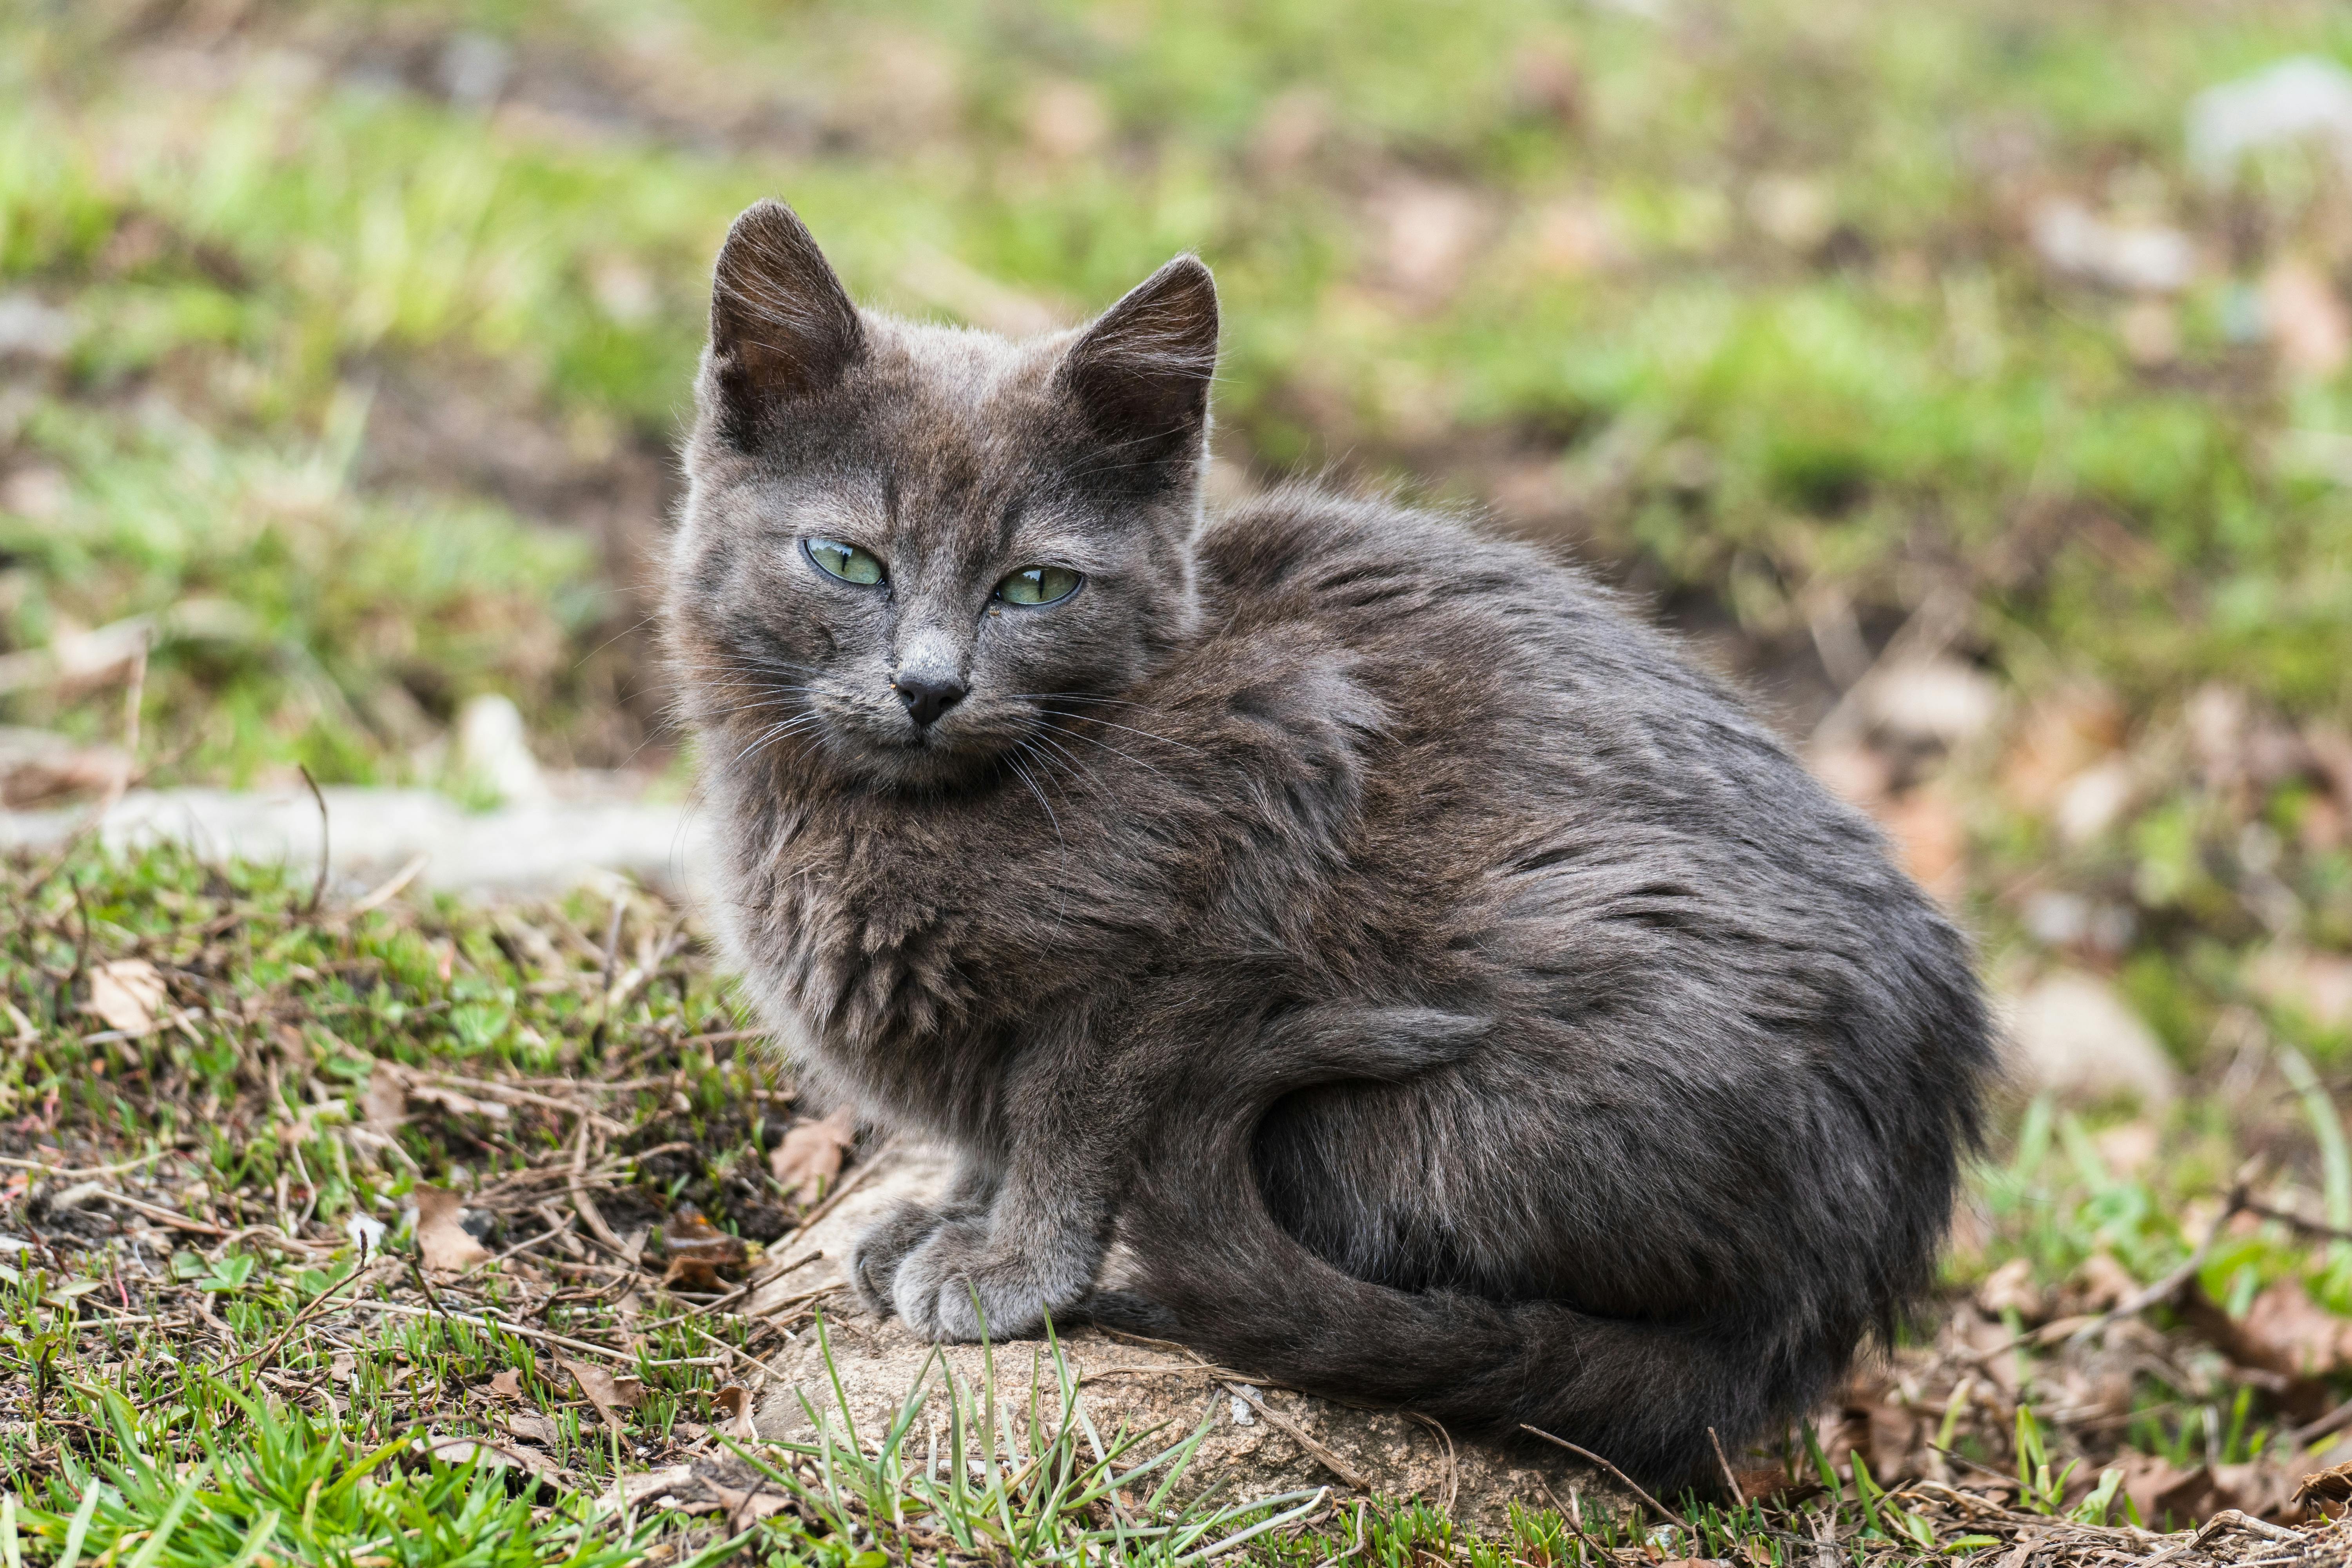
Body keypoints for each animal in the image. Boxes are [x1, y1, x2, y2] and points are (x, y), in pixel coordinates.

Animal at [673, 202, 1994, 1495]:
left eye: (1037, 587)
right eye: (847, 561)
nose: (930, 685)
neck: (895, 809)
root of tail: (1822, 1308)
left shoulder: (1246, 820)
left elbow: (1069, 1111)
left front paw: (1005, 1264)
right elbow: (990, 1124)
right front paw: (942, 1217)